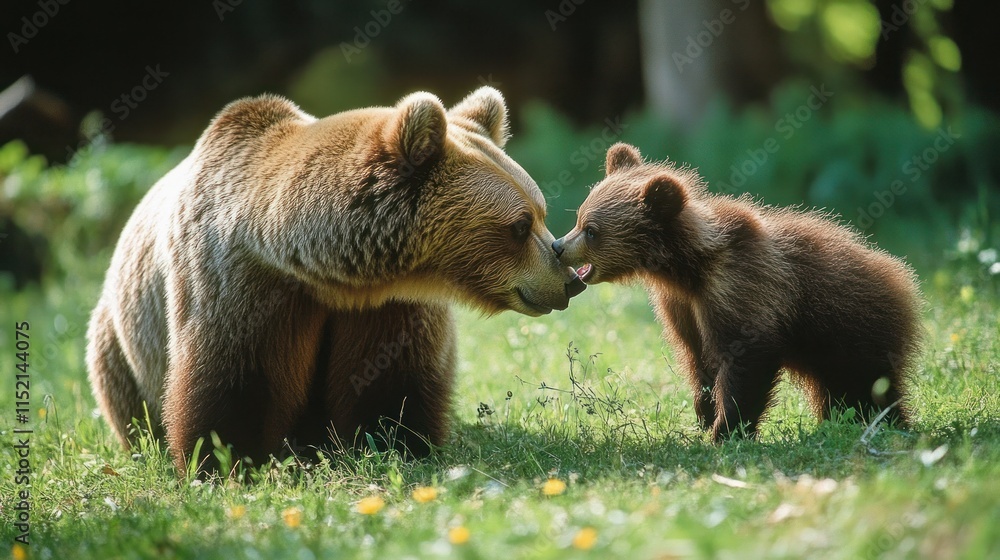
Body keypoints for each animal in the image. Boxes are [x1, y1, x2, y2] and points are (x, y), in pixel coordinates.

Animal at [86, 86, 587, 472]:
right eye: (520, 225)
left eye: (542, 212)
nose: (570, 280)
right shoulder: (241, 284)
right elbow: (232, 376)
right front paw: (226, 460)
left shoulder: (388, 306)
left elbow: (393, 381)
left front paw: (395, 444)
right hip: (115, 344)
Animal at [552, 142, 921, 441]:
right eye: (579, 217)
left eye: (591, 230)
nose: (558, 246)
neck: (687, 271)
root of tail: (901, 278)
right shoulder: (681, 307)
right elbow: (696, 359)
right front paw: (704, 414)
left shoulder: (742, 287)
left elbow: (745, 358)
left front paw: (726, 430)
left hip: (850, 328)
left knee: (869, 386)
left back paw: (887, 423)